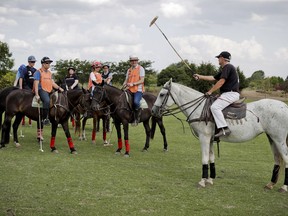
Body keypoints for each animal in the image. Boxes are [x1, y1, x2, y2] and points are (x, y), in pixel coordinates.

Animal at [152, 79, 288, 192]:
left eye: (162, 94)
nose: (153, 111)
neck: (200, 109)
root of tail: (285, 106)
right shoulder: (211, 139)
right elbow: (211, 158)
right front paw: (210, 179)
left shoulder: (204, 138)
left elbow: (204, 158)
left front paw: (202, 181)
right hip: (272, 138)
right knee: (277, 159)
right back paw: (270, 184)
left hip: (279, 139)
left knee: (285, 158)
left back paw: (284, 187)